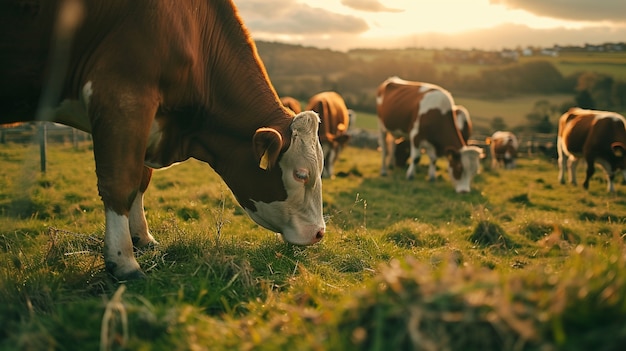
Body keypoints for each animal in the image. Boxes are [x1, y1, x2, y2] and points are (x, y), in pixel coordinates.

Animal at [2, 0, 326, 280]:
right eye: (301, 174)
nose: (320, 233)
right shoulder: (123, 96)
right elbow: (120, 182)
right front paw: (123, 261)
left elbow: (140, 181)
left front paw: (143, 238)